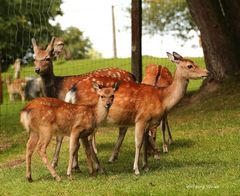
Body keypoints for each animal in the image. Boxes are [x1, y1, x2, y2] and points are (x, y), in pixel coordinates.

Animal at [30, 37, 135, 171]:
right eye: (34, 58)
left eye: (48, 58)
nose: (37, 69)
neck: (57, 90)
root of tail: (132, 76)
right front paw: (63, 164)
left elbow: (63, 136)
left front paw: (69, 164)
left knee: (124, 127)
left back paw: (112, 158)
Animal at [65, 52, 208, 175]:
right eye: (190, 65)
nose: (206, 72)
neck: (162, 98)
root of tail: (72, 91)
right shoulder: (141, 118)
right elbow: (138, 143)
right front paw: (136, 169)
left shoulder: (148, 121)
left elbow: (144, 142)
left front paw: (146, 166)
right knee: (87, 140)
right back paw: (97, 168)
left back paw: (83, 167)